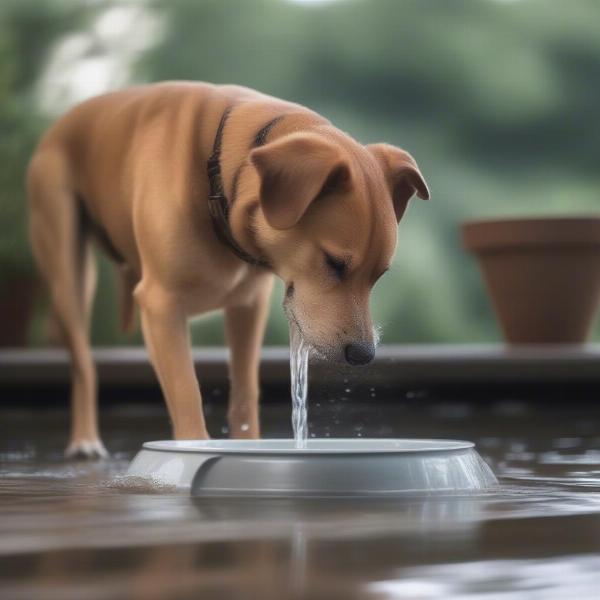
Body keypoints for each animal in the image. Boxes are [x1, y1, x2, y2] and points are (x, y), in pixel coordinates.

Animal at [27, 79, 426, 454]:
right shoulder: (161, 305)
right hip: (67, 266)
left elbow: (246, 391)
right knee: (83, 365)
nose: (364, 355)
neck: (220, 177)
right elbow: (186, 391)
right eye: (333, 262)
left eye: (380, 275)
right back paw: (85, 439)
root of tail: (64, 120)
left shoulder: (248, 305)